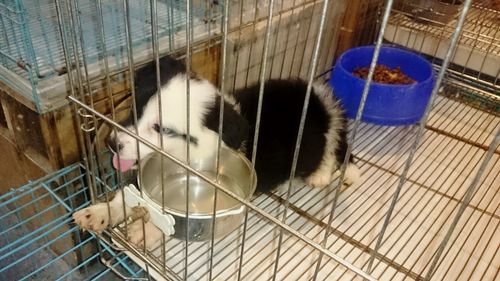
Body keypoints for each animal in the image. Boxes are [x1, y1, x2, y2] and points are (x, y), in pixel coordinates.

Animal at [72, 55, 360, 248]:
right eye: (135, 110)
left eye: (161, 128)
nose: (113, 144)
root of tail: (322, 100)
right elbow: (126, 195)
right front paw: (98, 213)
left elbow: (170, 218)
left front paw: (146, 230)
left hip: (320, 142)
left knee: (334, 152)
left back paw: (323, 174)